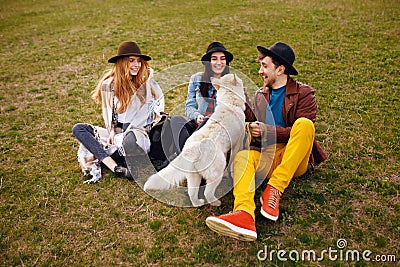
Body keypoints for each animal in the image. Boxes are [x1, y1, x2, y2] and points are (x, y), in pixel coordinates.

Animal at [142, 74, 245, 208]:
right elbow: (232, 161)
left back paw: (198, 203)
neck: (229, 103)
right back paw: (216, 202)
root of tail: (191, 150)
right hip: (216, 173)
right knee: (207, 192)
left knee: (192, 193)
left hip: (194, 176)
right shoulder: (237, 143)